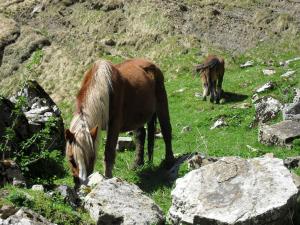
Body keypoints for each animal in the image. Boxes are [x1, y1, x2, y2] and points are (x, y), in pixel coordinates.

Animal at [64, 58, 175, 186]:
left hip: (162, 102)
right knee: (140, 135)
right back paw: (137, 163)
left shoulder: (114, 125)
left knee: (166, 130)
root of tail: (151, 64)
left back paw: (169, 161)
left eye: (92, 157)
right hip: (137, 116)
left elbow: (109, 152)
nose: (81, 184)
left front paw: (108, 178)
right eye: (71, 159)